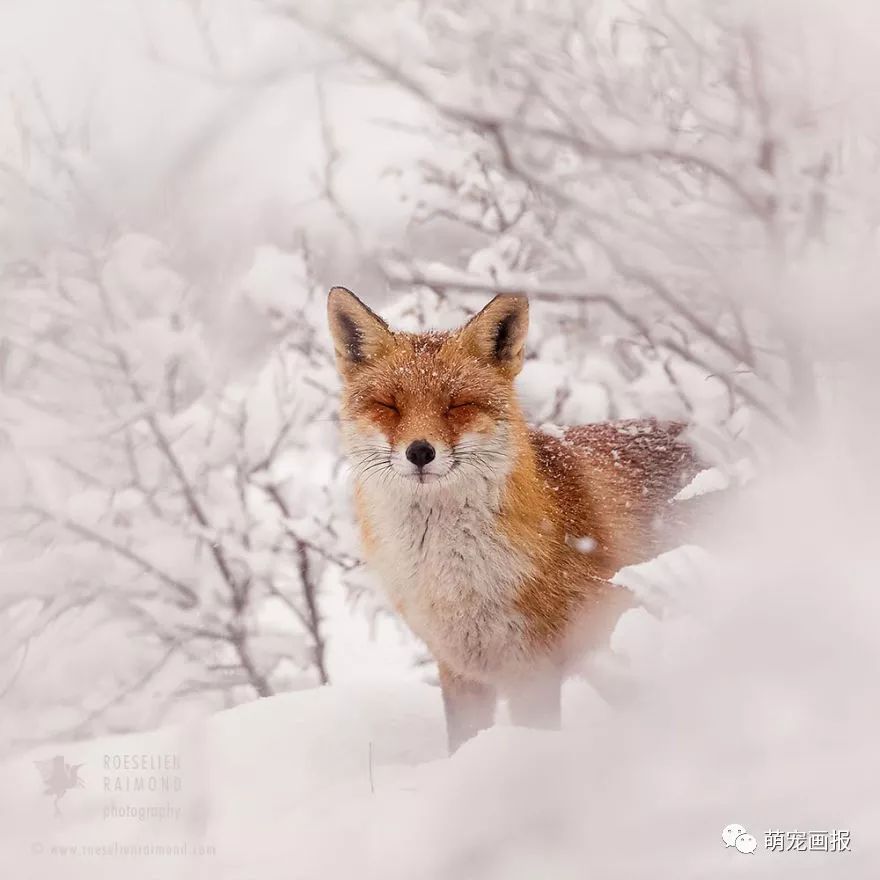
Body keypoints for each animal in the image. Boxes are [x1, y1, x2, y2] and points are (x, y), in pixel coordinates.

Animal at [326, 288, 704, 748]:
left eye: (457, 405)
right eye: (388, 406)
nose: (420, 452)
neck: (455, 579)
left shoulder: (535, 667)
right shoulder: (461, 669)